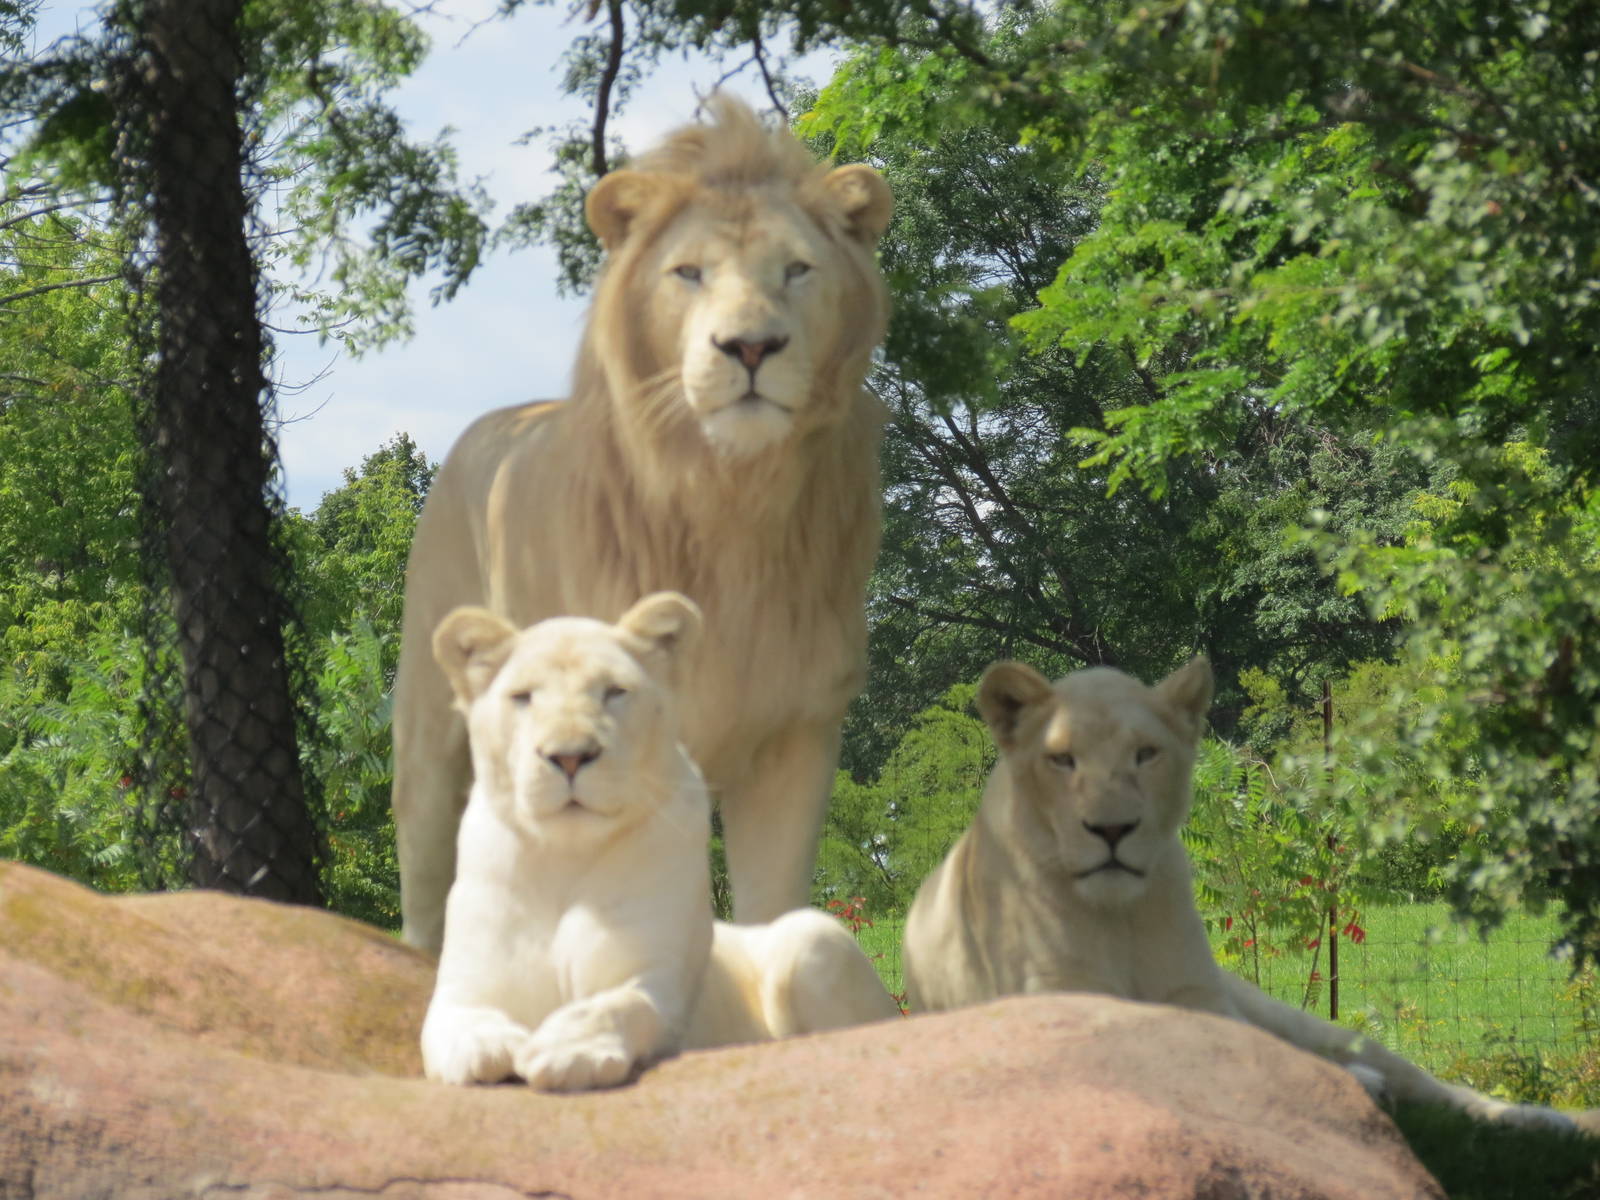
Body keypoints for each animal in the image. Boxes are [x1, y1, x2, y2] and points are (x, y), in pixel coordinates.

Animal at [392, 94, 893, 954]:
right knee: (426, 901)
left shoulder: (797, 737)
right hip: (429, 740)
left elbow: (769, 908)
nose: (750, 346)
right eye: (688, 272)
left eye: (797, 269)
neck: (733, 505)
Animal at [421, 593, 899, 1090]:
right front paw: (486, 1049)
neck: (566, 857)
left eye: (613, 691)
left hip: (808, 936)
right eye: (522, 697)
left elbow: (615, 1005)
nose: (570, 756)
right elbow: (460, 1019)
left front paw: (567, 1050)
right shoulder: (462, 989)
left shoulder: (656, 983)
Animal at [902, 657, 1575, 1130]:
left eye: (1145, 754)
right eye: (1062, 760)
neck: (1116, 917)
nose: (1113, 829)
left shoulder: (1198, 994)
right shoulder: (1055, 1008)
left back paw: (1544, 1120)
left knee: (1424, 1085)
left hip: (1307, 1023)